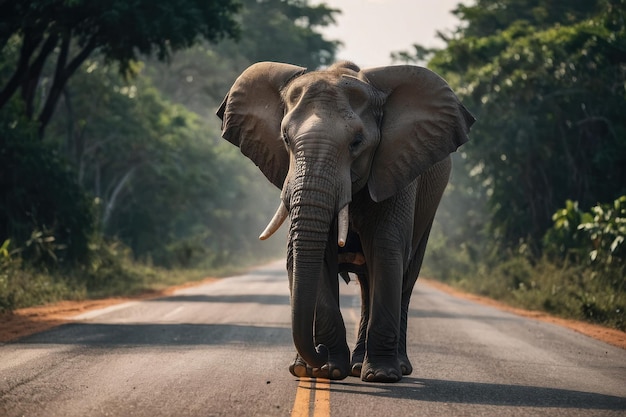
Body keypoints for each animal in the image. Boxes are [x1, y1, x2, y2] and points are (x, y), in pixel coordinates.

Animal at [217, 60, 470, 382]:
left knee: (403, 277)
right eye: (285, 139)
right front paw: (326, 370)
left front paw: (380, 376)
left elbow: (386, 250)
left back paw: (384, 368)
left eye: (356, 142)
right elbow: (310, 256)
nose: (319, 351)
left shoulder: (396, 167)